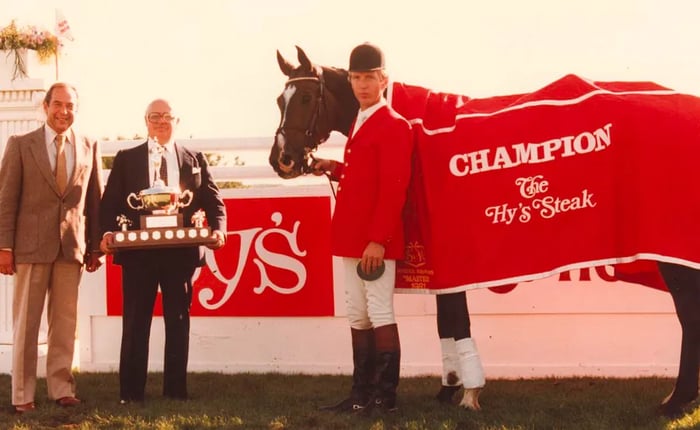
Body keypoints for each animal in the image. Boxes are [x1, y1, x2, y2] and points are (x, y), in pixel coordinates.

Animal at [268, 46, 700, 416]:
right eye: (278, 101)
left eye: (305, 98)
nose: (282, 159)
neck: (409, 129)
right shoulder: (439, 261)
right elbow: (446, 321)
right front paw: (450, 388)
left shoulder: (447, 254)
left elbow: (456, 321)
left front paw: (470, 394)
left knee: (689, 313)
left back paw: (676, 402)